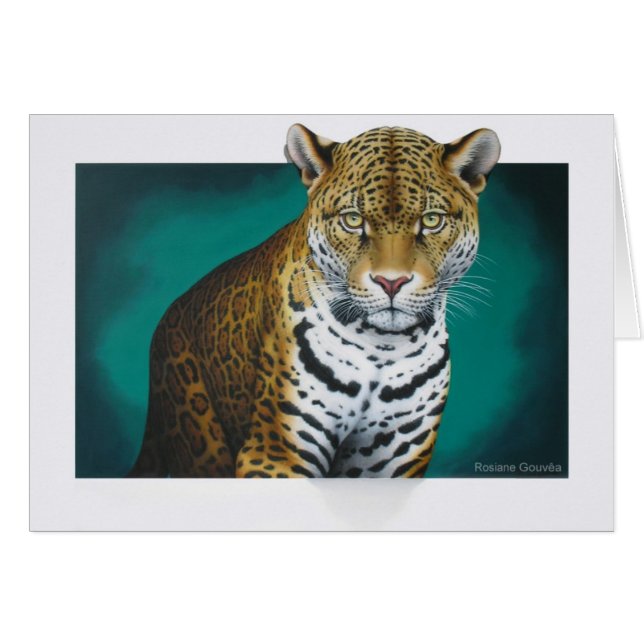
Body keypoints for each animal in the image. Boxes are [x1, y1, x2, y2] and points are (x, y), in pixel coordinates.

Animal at [127, 123, 500, 478]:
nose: (391, 282)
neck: (381, 348)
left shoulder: (389, 460)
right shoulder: (276, 453)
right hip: (202, 438)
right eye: (353, 220)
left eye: (432, 220)